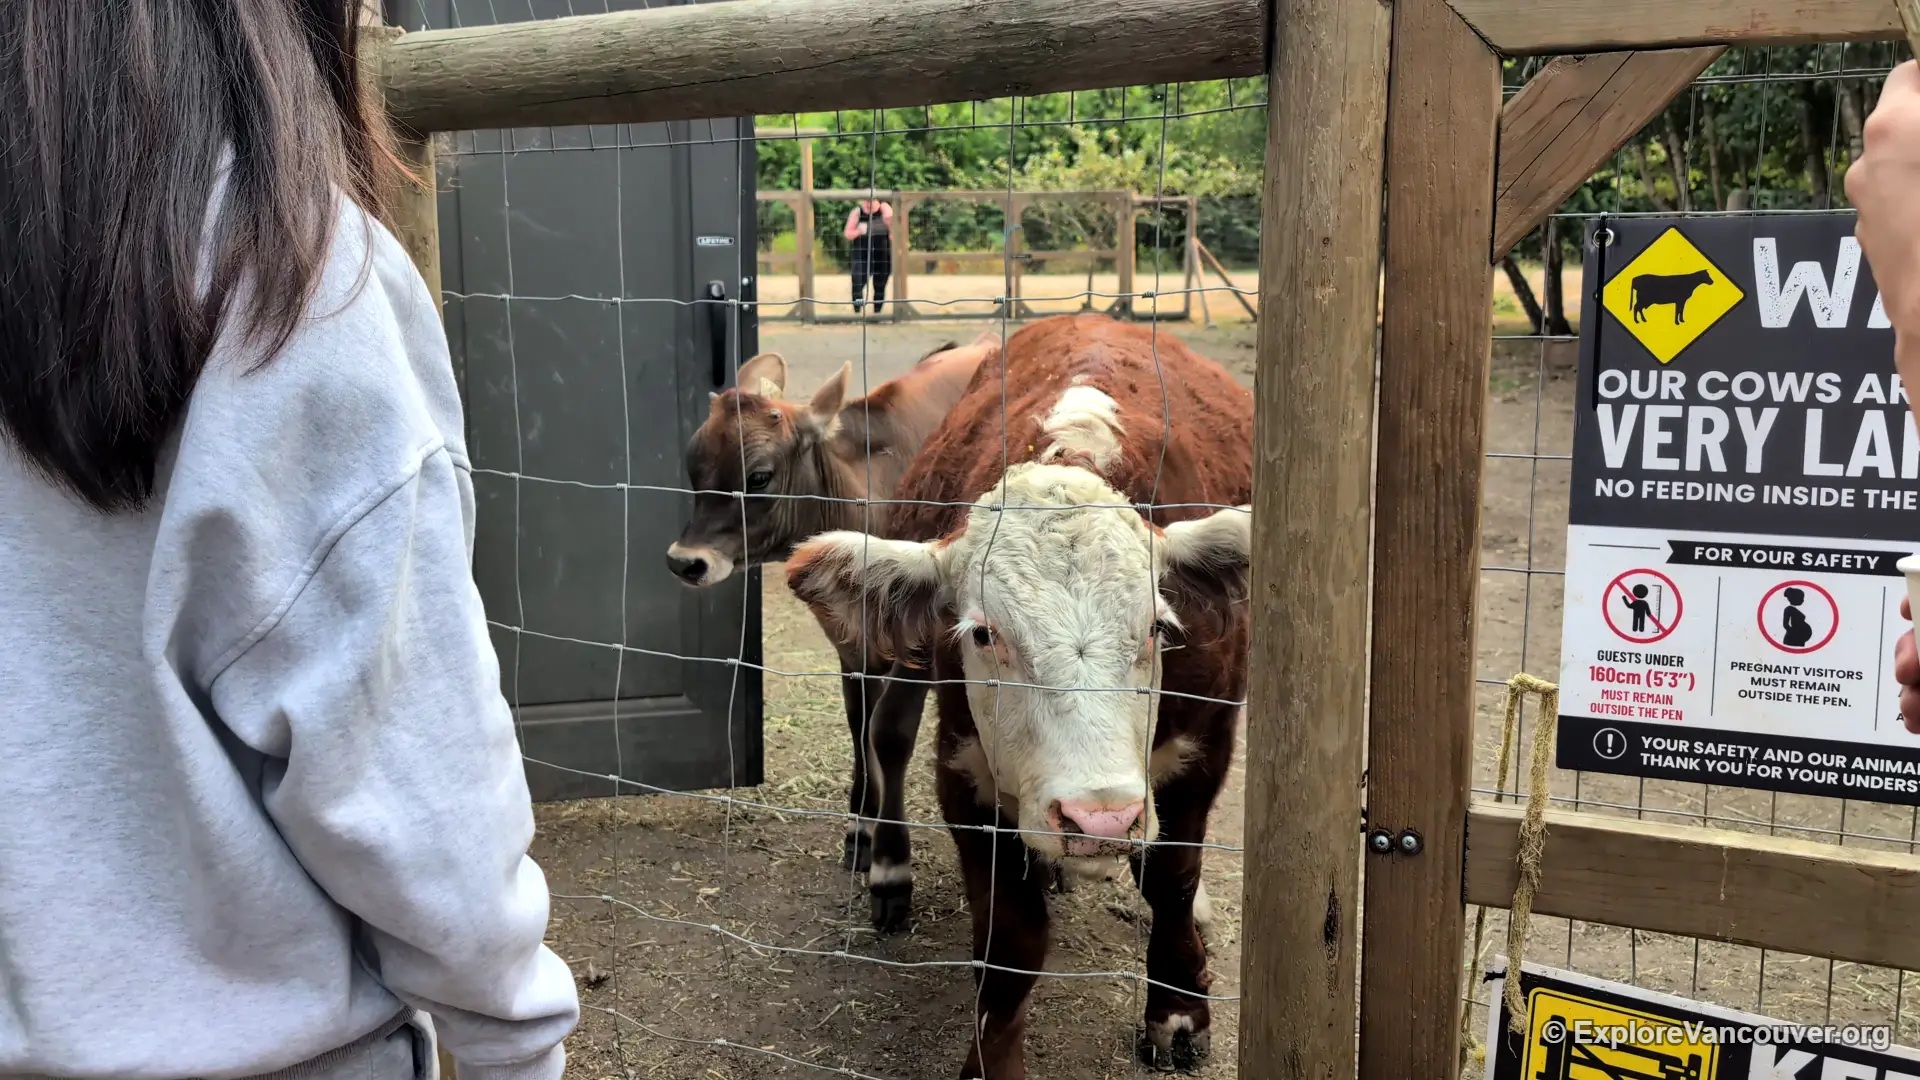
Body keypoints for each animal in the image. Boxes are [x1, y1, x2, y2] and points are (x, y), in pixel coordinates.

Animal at [667, 333, 997, 917]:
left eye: (759, 476)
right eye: (694, 469)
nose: (687, 562)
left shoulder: (918, 643)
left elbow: (889, 733)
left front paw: (891, 869)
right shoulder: (850, 646)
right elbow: (858, 725)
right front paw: (860, 835)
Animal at [786, 314, 1252, 1078]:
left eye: (1158, 627)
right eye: (983, 634)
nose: (1099, 819)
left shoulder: (1203, 746)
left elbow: (1173, 877)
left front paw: (1178, 1008)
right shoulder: (964, 769)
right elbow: (1009, 942)